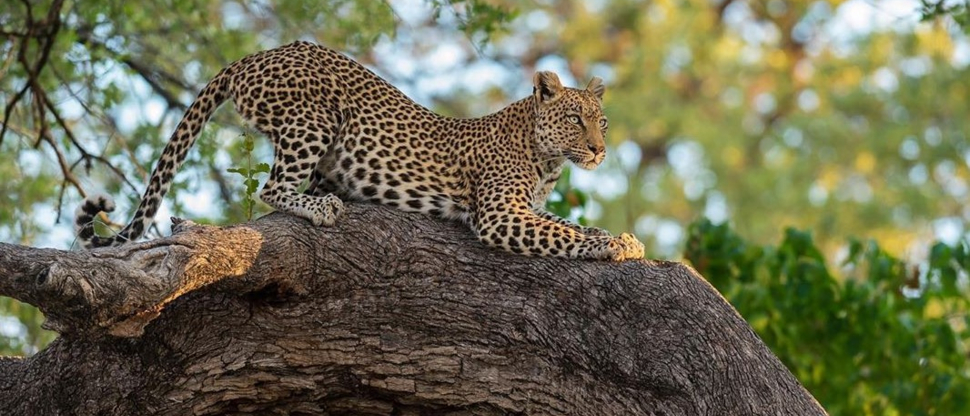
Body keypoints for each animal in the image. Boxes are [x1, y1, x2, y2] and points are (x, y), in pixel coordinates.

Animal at [75, 41, 645, 261]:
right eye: (575, 119)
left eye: (602, 122)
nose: (598, 151)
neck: (547, 159)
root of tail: (255, 56)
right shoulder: (499, 214)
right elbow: (562, 234)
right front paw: (614, 247)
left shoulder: (525, 208)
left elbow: (567, 225)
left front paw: (617, 237)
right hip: (315, 118)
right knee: (272, 188)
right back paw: (321, 208)